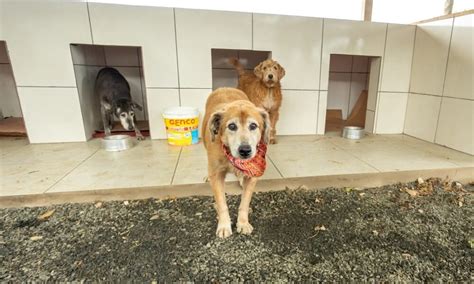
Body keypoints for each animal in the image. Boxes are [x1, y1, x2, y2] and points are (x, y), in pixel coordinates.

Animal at [203, 87, 270, 239]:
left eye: (253, 126)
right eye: (232, 126)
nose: (245, 150)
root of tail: (225, 87)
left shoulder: (252, 177)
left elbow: (244, 202)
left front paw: (243, 223)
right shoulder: (216, 175)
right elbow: (222, 204)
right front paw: (224, 225)